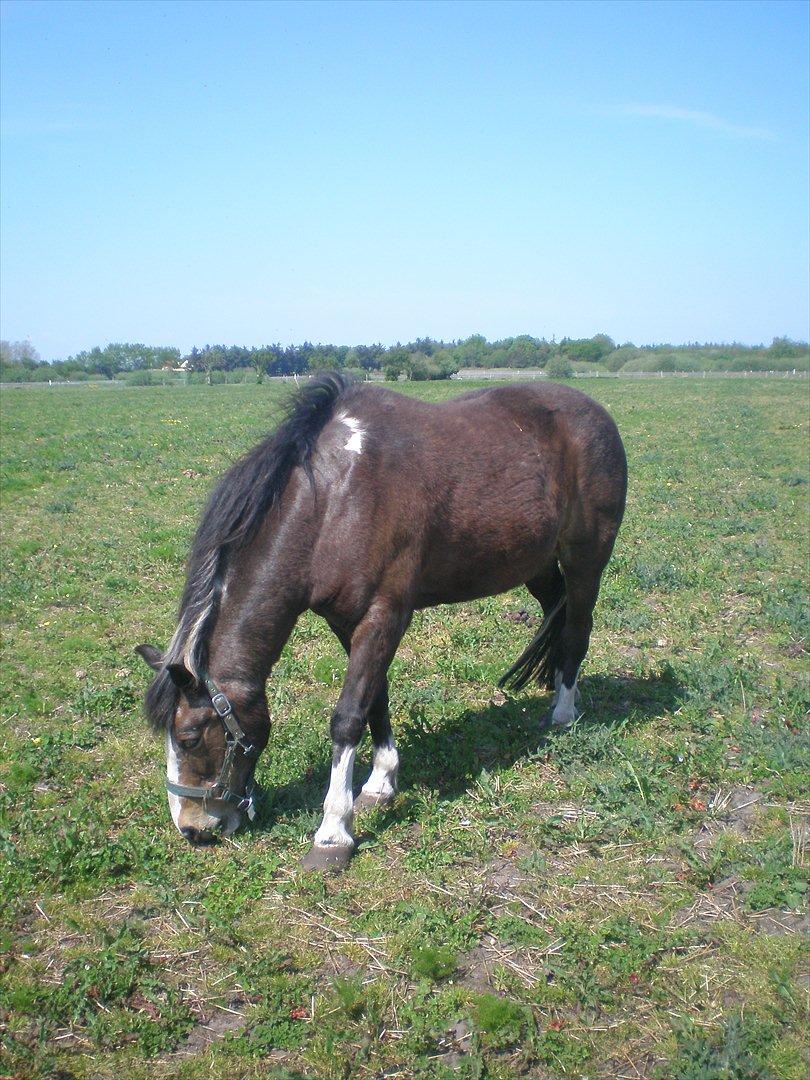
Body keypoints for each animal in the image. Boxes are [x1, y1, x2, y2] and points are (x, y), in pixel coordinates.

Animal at [136, 372, 627, 870]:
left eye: (189, 738)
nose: (191, 829)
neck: (336, 500)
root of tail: (595, 412)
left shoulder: (384, 614)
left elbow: (348, 715)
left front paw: (333, 832)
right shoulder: (347, 620)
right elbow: (376, 698)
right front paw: (380, 783)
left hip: (586, 558)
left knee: (577, 629)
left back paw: (564, 712)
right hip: (537, 565)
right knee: (556, 615)